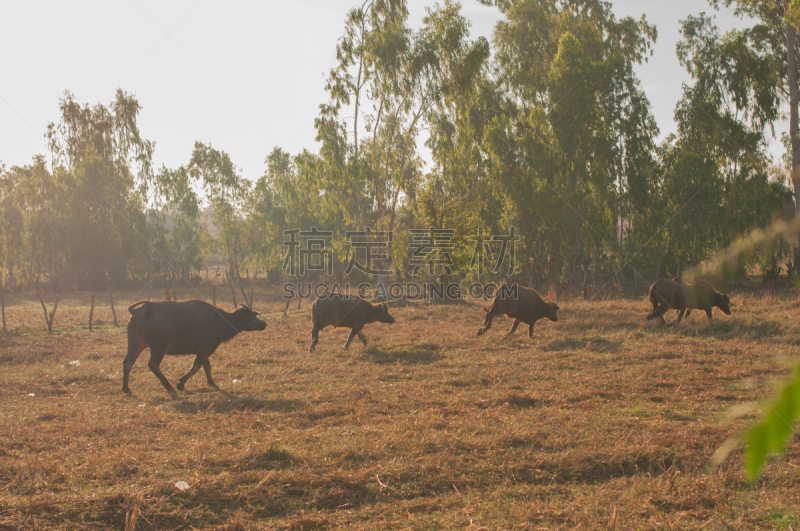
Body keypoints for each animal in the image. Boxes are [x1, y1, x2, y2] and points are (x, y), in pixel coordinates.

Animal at [122, 300, 266, 394]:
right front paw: (181, 383)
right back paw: (168, 386)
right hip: (159, 347)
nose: (264, 323)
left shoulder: (204, 350)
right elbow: (196, 367)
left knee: (128, 362)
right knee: (153, 365)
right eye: (252, 317)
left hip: (136, 343)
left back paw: (126, 388)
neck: (222, 320)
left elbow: (207, 366)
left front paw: (212, 383)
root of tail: (138, 312)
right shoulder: (206, 348)